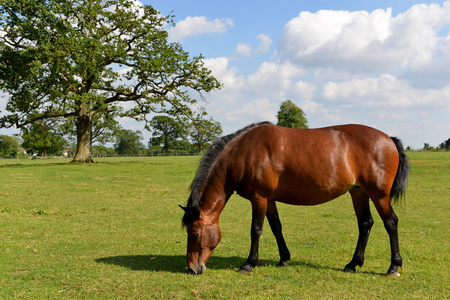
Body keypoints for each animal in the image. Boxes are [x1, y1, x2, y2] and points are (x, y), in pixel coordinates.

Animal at [179, 122, 408, 276]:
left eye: (195, 234)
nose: (192, 268)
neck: (244, 153)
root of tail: (389, 138)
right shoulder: (269, 200)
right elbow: (276, 227)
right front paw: (284, 259)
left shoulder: (259, 198)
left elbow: (256, 230)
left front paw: (248, 264)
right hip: (359, 192)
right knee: (365, 224)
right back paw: (352, 264)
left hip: (379, 195)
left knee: (391, 223)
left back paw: (393, 267)